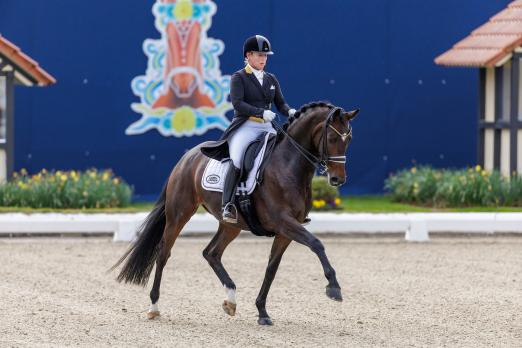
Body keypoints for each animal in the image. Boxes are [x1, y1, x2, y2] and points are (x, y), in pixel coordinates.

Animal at [111, 102, 358, 324]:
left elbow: (272, 267)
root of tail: (187, 157)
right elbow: (317, 244)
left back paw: (231, 300)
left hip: (231, 224)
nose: (337, 179)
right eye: (332, 138)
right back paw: (154, 307)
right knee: (164, 253)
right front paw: (334, 288)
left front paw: (262, 312)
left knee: (211, 253)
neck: (289, 165)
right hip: (179, 214)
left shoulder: (286, 230)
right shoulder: (284, 222)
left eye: (349, 140)